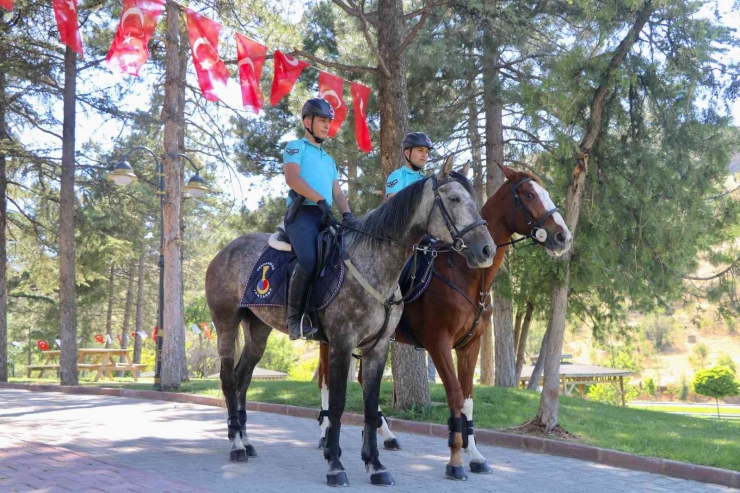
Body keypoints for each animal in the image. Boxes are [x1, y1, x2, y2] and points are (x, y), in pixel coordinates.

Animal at [207, 157, 498, 484]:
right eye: (455, 199)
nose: (487, 249)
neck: (375, 264)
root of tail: (224, 250)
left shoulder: (378, 347)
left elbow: (370, 406)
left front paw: (375, 464)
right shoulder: (343, 344)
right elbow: (337, 404)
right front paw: (335, 464)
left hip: (258, 329)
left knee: (243, 378)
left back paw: (246, 440)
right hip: (226, 323)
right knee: (229, 379)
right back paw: (236, 444)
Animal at [314, 163, 572, 478]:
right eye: (529, 194)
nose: (563, 236)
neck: (465, 274)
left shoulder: (470, 345)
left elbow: (468, 401)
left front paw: (474, 454)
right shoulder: (438, 344)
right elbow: (455, 396)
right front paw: (455, 458)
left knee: (362, 381)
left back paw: (384, 435)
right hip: (332, 339)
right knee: (326, 382)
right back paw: (327, 435)